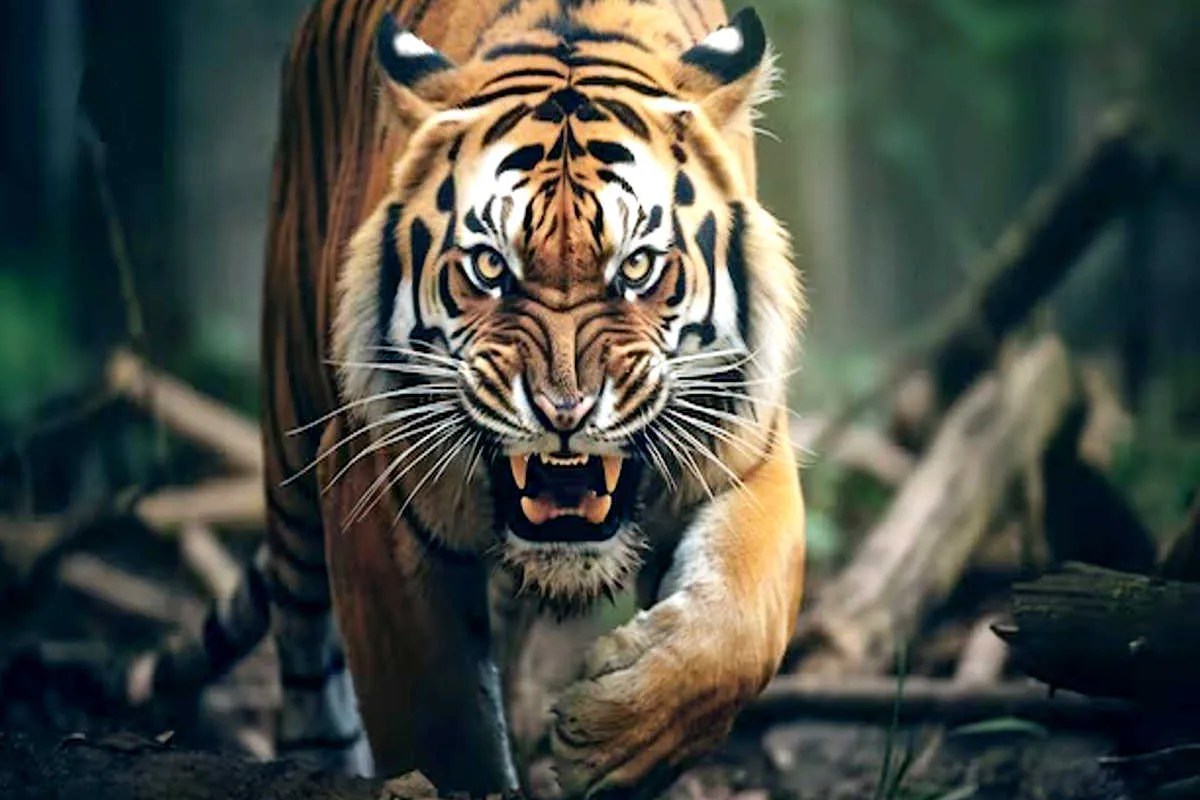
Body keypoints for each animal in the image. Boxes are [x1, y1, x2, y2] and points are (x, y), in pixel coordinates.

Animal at [126, 0, 806, 796]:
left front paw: (612, 737)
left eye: (637, 267)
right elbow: (441, 719)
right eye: (490, 267)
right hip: (291, 431)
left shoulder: (747, 448)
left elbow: (740, 630)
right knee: (305, 652)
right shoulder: (372, 491)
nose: (565, 411)